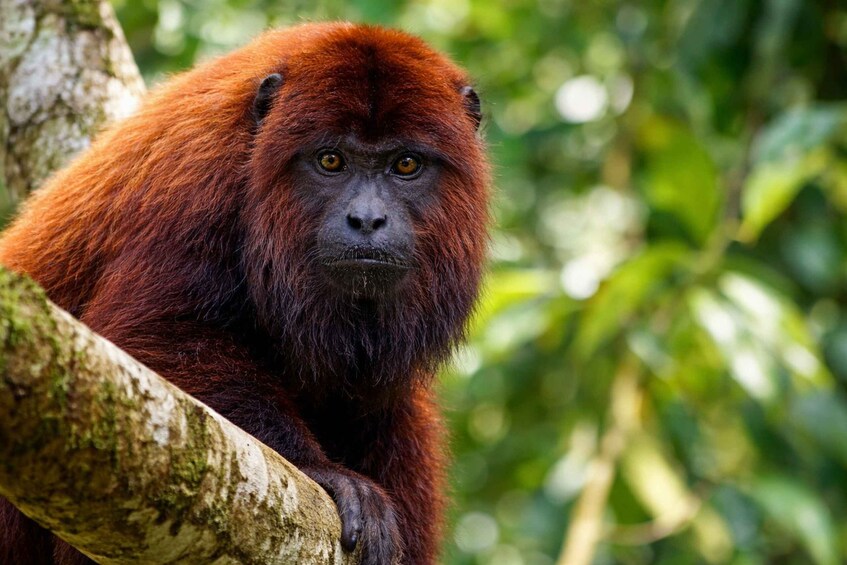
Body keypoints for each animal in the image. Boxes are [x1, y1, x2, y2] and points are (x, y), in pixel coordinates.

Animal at [0, 22, 489, 565]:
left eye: (406, 165)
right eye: (330, 160)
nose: (367, 219)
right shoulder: (199, 175)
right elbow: (152, 337)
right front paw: (326, 474)